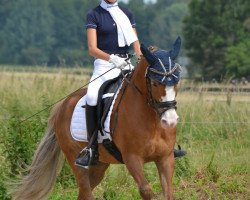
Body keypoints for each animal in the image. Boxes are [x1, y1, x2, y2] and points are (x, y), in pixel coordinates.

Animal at [12, 36, 182, 199]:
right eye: (154, 83)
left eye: (177, 82)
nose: (170, 121)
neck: (152, 121)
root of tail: (63, 105)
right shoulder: (132, 159)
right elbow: (146, 190)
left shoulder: (166, 158)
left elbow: (168, 192)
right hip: (75, 159)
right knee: (86, 192)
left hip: (100, 165)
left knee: (83, 193)